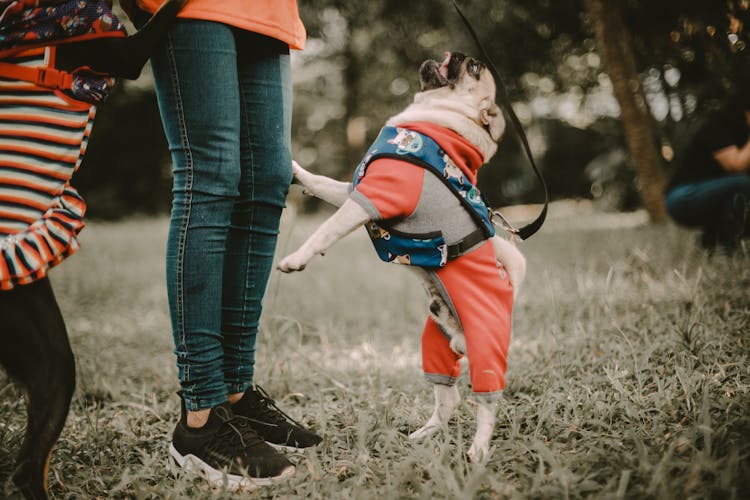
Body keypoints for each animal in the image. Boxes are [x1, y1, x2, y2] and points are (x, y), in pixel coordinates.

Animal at [280, 51, 524, 460]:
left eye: (474, 68)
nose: (458, 53)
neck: (433, 122)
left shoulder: (377, 196)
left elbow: (326, 228)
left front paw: (297, 258)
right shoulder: (355, 191)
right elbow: (320, 183)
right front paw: (297, 171)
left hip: (486, 343)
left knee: (487, 402)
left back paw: (478, 450)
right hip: (435, 342)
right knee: (448, 398)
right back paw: (424, 435)